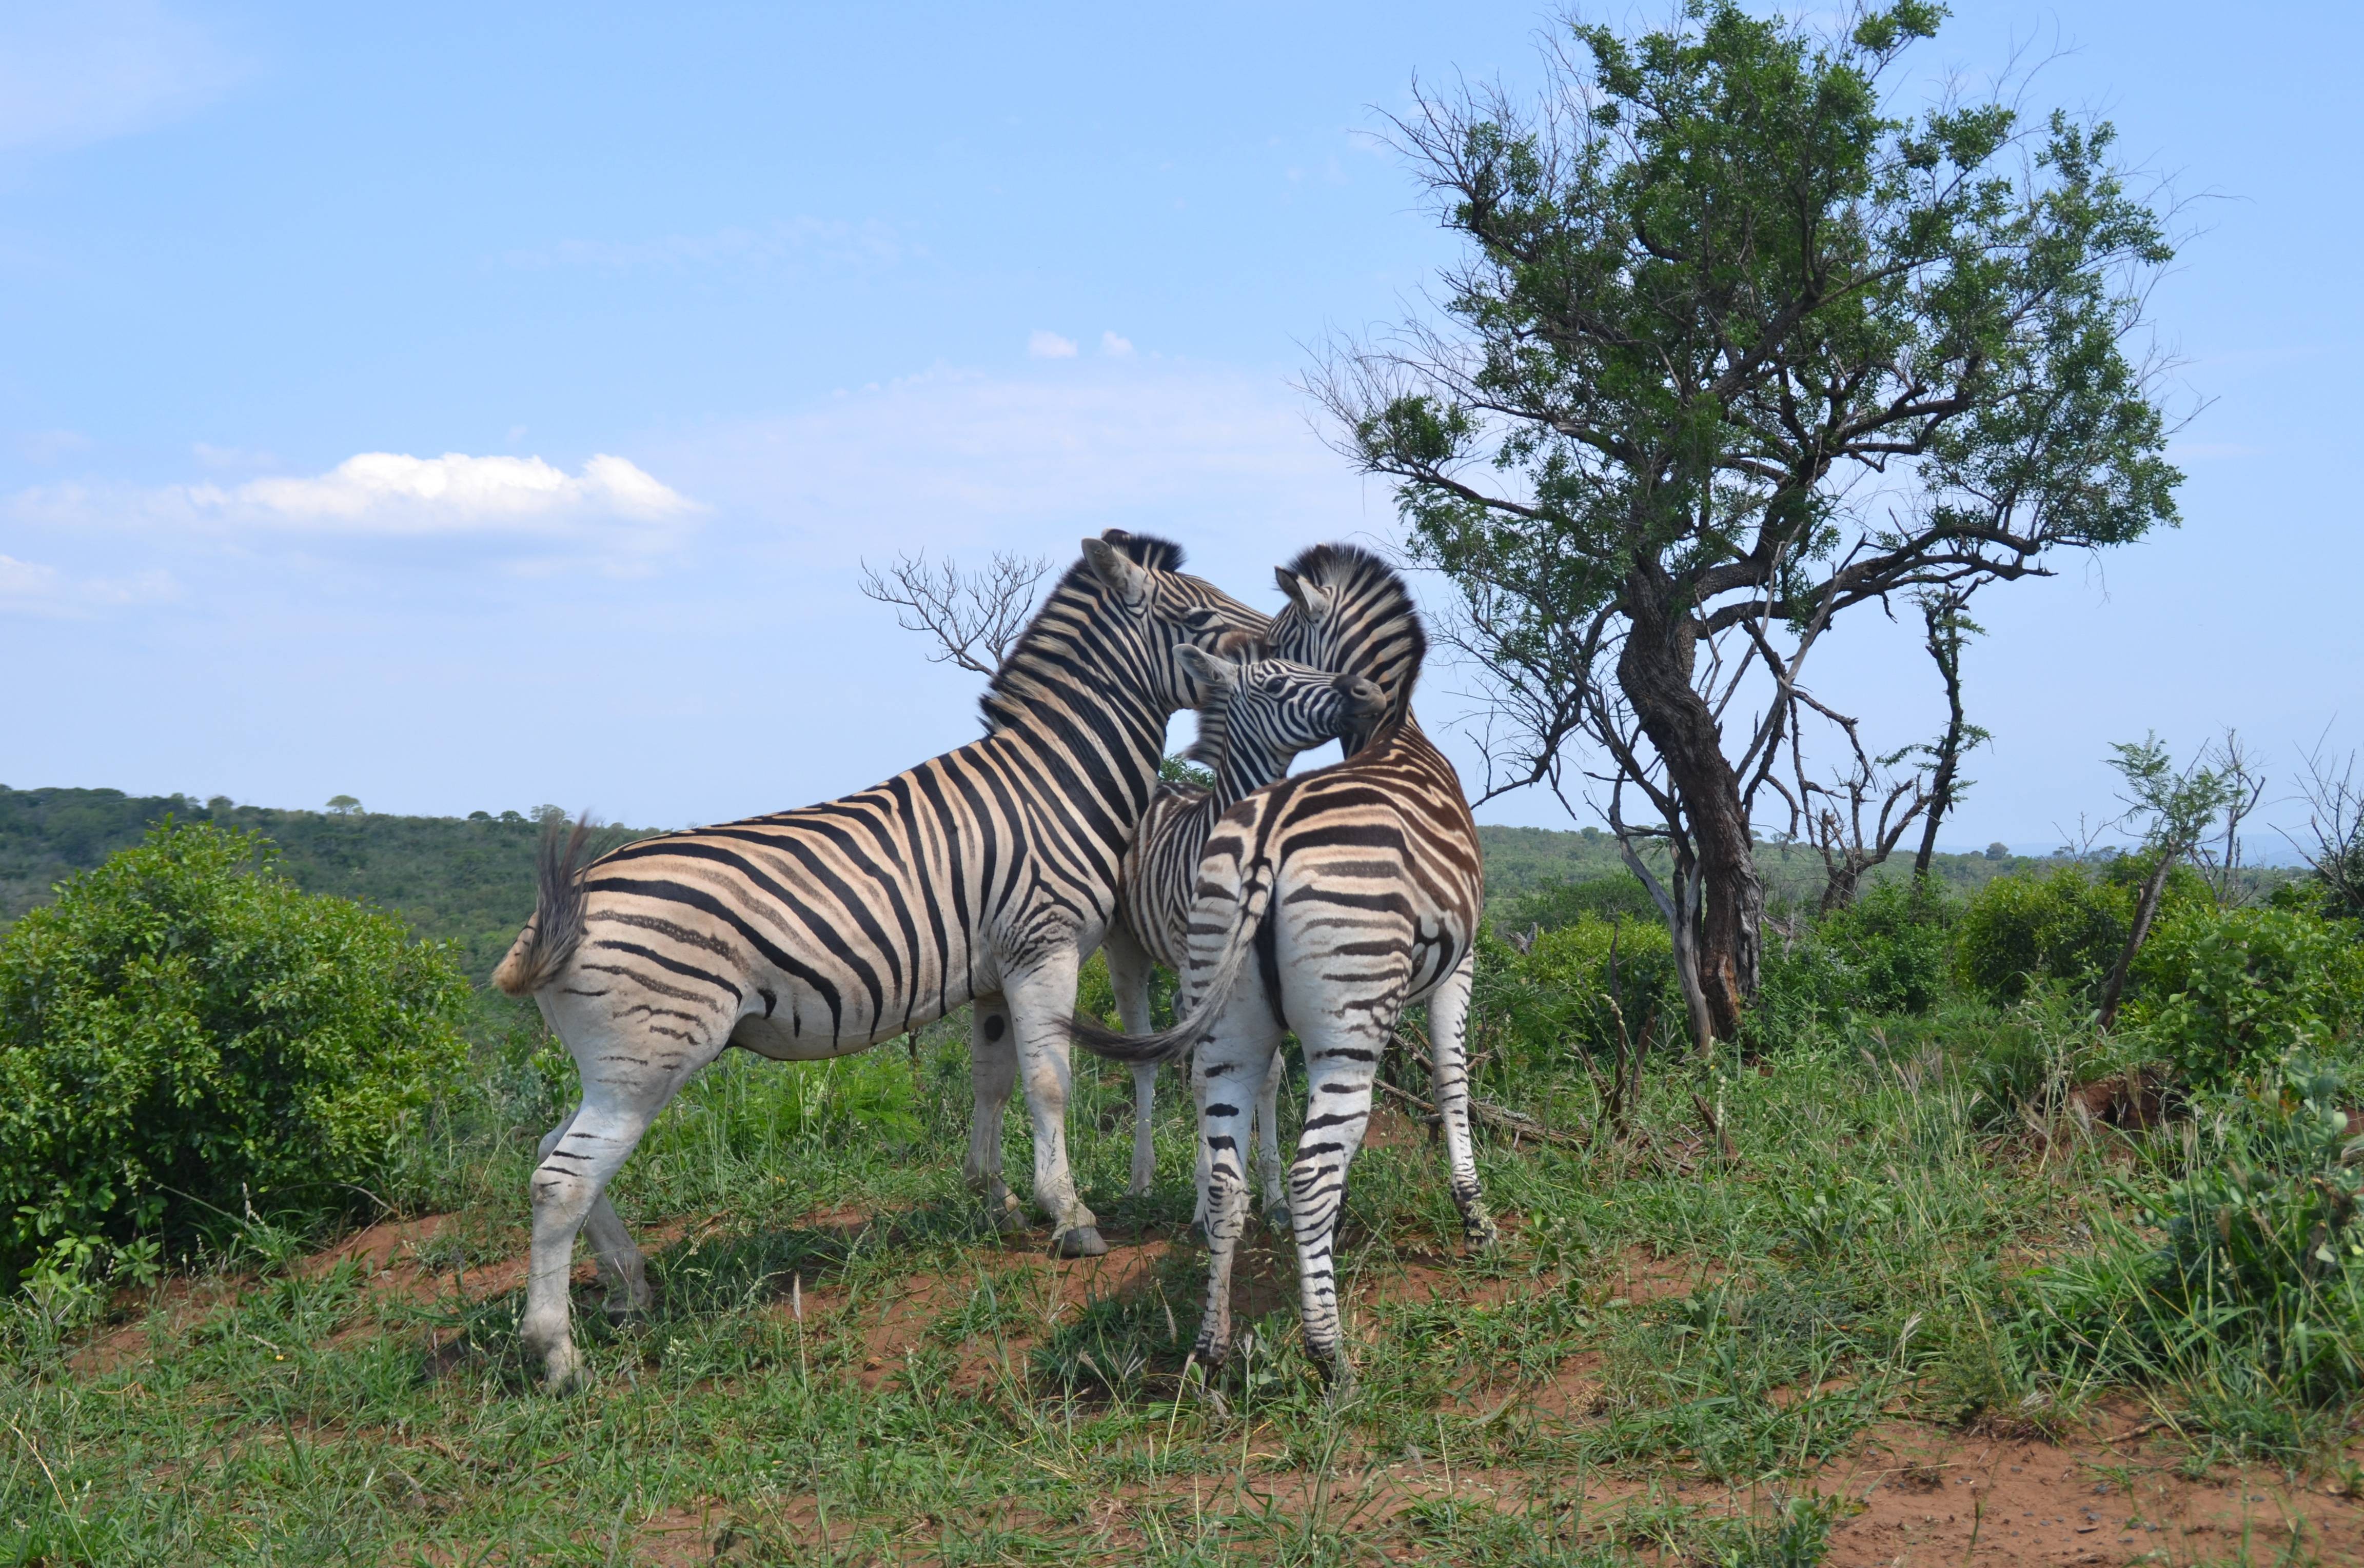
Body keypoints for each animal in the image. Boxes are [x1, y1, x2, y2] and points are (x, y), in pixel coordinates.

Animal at [491, 529, 1269, 1391]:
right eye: (1200, 619)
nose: (1284, 639)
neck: (1056, 782)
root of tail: (567, 902)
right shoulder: (1045, 946)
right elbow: (1049, 1083)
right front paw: (1068, 1216)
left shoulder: (993, 973)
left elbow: (993, 1083)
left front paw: (994, 1198)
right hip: (648, 1059)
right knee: (561, 1178)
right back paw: (557, 1353)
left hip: (615, 1064)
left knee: (552, 1153)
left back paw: (631, 1287)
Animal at [1103, 644, 1386, 1227]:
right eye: (1275, 686)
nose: (1369, 690)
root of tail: (1159, 784)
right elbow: (1202, 1075)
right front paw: (1203, 1203)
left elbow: (1269, 1073)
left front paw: (1273, 1194)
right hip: (1127, 947)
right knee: (1143, 1056)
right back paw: (1141, 1181)